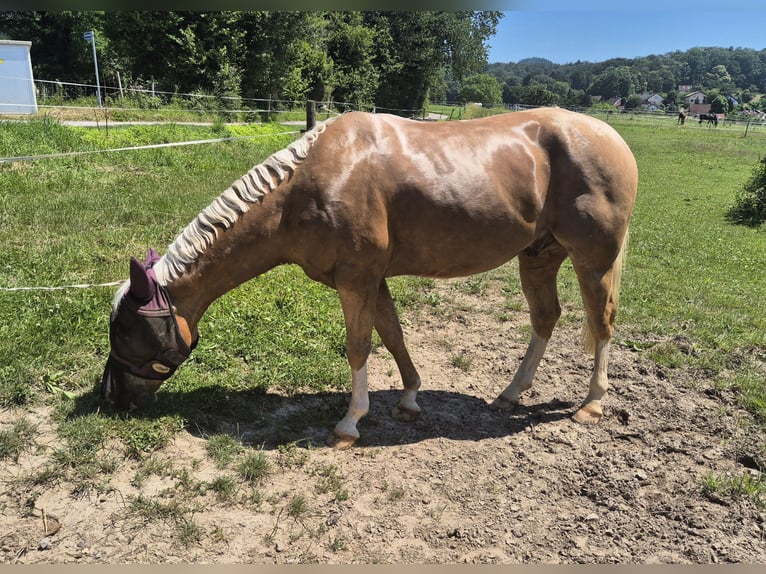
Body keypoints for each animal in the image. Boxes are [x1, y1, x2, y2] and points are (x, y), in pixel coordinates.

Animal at [103, 108, 640, 450]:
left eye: (127, 334)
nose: (113, 399)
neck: (307, 186)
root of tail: (610, 137)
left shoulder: (356, 280)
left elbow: (359, 346)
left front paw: (349, 423)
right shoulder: (372, 279)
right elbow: (393, 335)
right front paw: (409, 399)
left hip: (592, 259)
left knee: (603, 322)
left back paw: (592, 404)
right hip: (539, 256)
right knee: (546, 317)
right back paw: (511, 393)